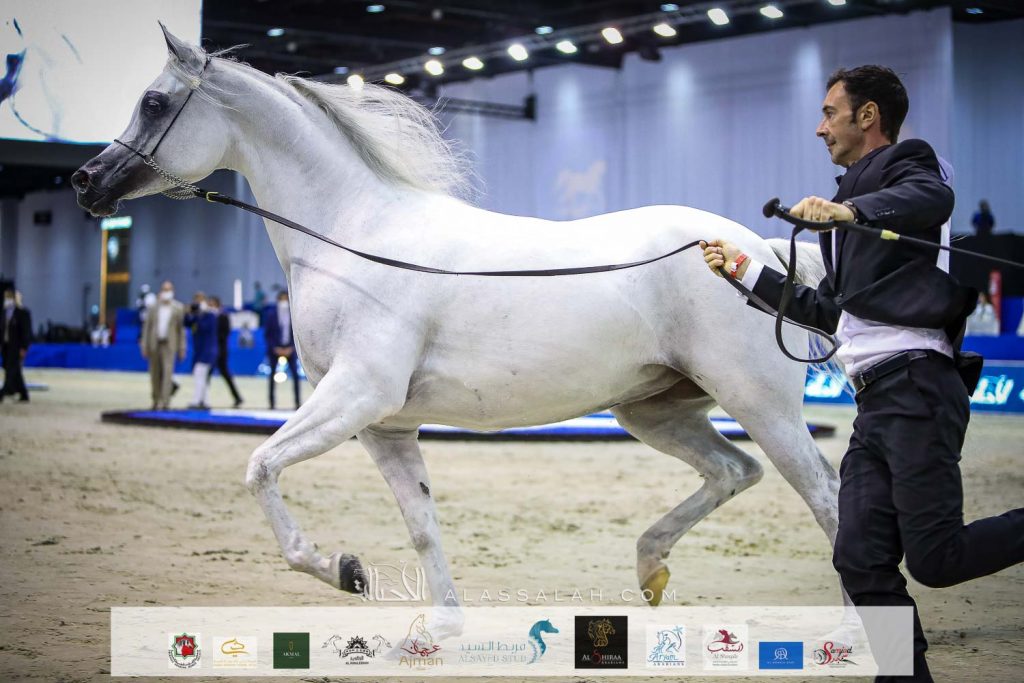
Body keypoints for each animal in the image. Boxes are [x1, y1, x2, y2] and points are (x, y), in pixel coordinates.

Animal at [73, 25, 849, 635]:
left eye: (153, 102)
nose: (85, 181)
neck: (354, 236)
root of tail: (757, 253)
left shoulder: (357, 394)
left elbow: (262, 467)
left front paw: (344, 568)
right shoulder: (383, 425)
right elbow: (420, 523)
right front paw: (438, 625)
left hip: (759, 403)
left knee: (825, 496)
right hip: (656, 409)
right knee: (734, 470)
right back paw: (650, 567)